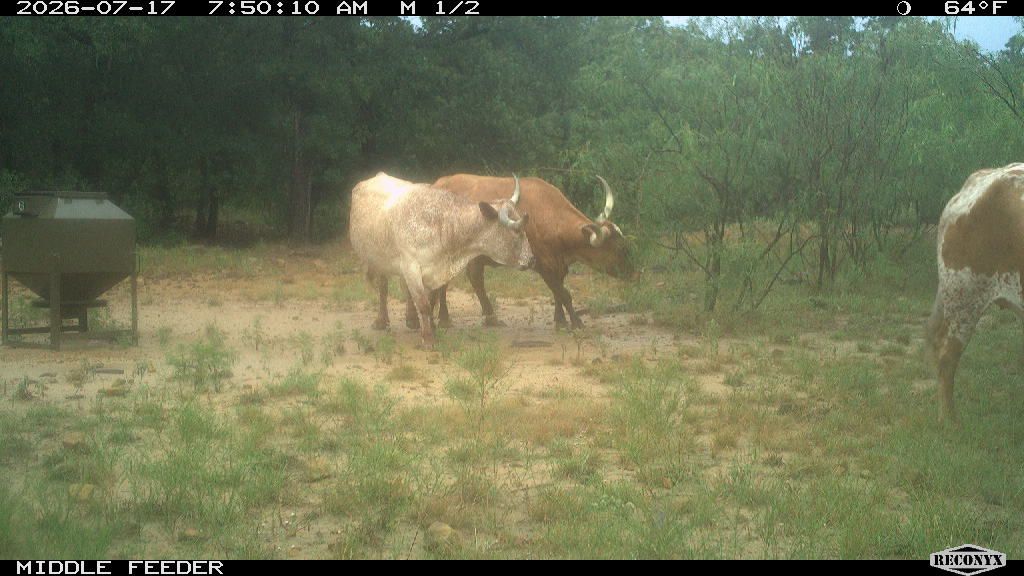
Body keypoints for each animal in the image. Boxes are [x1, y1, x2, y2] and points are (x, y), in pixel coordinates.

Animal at [348, 172, 534, 347]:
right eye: (516, 230)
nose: (532, 259)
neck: (442, 226)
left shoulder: (431, 271)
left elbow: (431, 301)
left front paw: (431, 328)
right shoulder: (411, 267)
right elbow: (423, 304)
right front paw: (428, 339)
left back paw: (412, 320)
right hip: (378, 260)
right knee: (383, 288)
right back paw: (381, 321)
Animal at [420, 174, 633, 330]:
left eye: (625, 244)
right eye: (620, 249)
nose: (633, 274)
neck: (547, 214)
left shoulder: (558, 265)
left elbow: (558, 292)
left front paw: (560, 320)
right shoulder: (543, 264)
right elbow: (564, 294)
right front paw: (576, 322)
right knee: (464, 281)